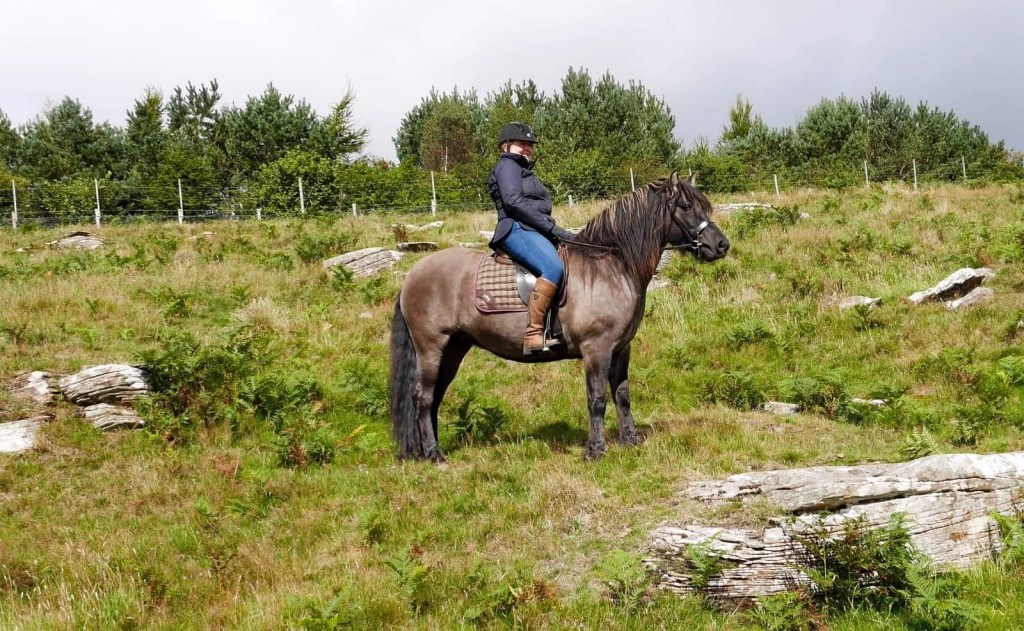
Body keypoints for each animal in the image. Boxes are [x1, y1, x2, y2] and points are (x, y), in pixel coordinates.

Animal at [389, 171, 730, 462]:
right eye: (686, 206)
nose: (721, 245)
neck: (610, 267)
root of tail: (412, 276)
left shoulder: (621, 349)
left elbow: (622, 394)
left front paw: (630, 440)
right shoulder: (597, 349)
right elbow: (596, 399)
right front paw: (595, 450)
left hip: (454, 348)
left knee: (434, 395)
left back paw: (426, 449)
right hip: (431, 347)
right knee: (423, 396)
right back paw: (434, 454)